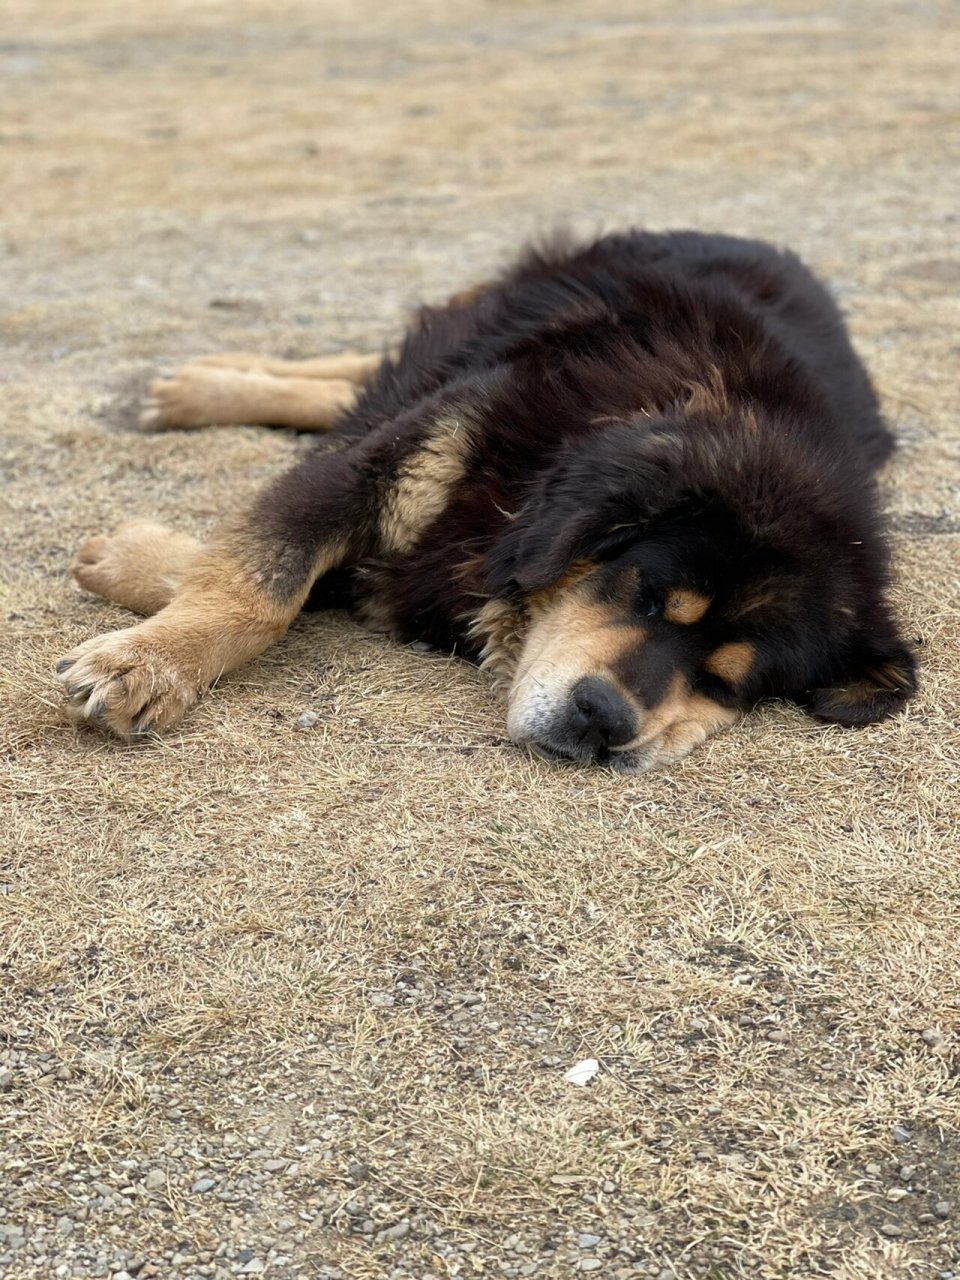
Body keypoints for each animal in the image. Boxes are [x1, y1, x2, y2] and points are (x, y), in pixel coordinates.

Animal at [56, 229, 921, 768]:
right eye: (645, 595)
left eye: (726, 684)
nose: (605, 722)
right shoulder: (387, 461)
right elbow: (264, 589)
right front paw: (148, 663)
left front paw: (135, 565)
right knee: (367, 369)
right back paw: (194, 388)